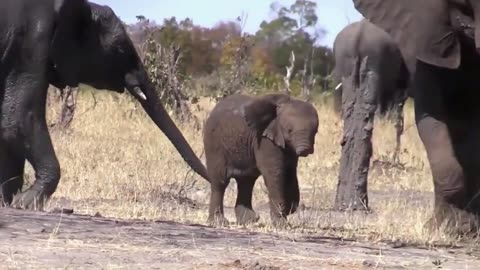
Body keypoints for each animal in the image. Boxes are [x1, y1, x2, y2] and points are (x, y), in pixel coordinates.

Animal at [202, 94, 318, 227]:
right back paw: (219, 222)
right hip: (214, 142)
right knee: (220, 181)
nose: (305, 150)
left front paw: (289, 208)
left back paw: (249, 220)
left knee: (246, 181)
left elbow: (290, 173)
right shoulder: (263, 139)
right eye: (289, 130)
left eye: (315, 131)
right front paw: (281, 224)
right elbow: (274, 173)